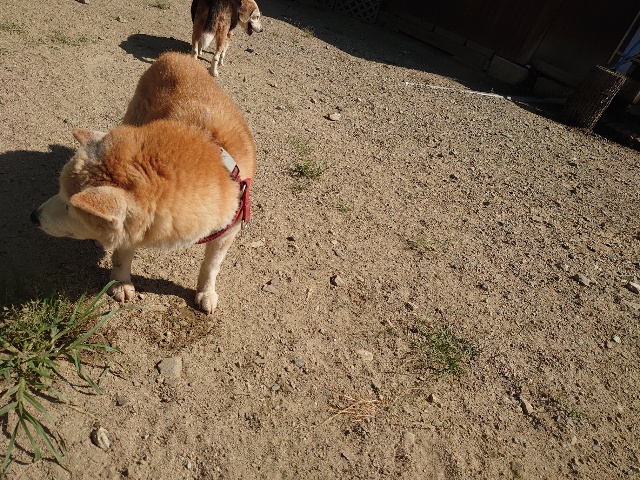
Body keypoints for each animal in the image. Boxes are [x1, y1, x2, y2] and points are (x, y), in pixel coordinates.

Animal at [31, 52, 256, 314]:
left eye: (69, 205)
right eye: (59, 191)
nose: (34, 216)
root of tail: (173, 54)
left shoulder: (228, 229)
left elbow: (211, 267)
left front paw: (206, 293)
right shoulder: (132, 227)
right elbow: (122, 256)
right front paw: (120, 283)